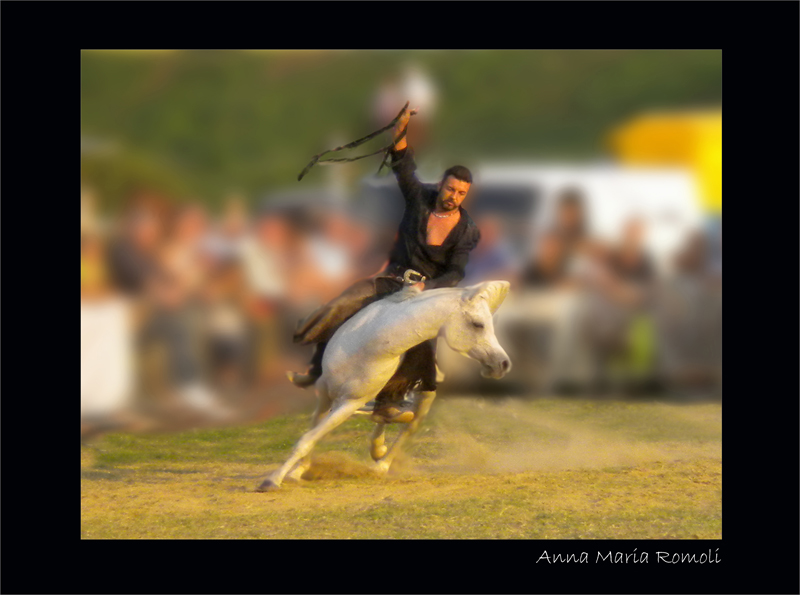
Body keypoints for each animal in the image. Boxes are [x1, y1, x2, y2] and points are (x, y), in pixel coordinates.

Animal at [258, 282, 512, 492]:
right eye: (478, 324)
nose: (503, 363)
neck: (371, 345)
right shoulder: (324, 394)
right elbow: (310, 435)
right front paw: (297, 470)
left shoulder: (349, 404)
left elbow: (308, 438)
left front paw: (273, 480)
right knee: (384, 416)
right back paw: (378, 445)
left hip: (425, 397)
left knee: (407, 426)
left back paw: (380, 465)